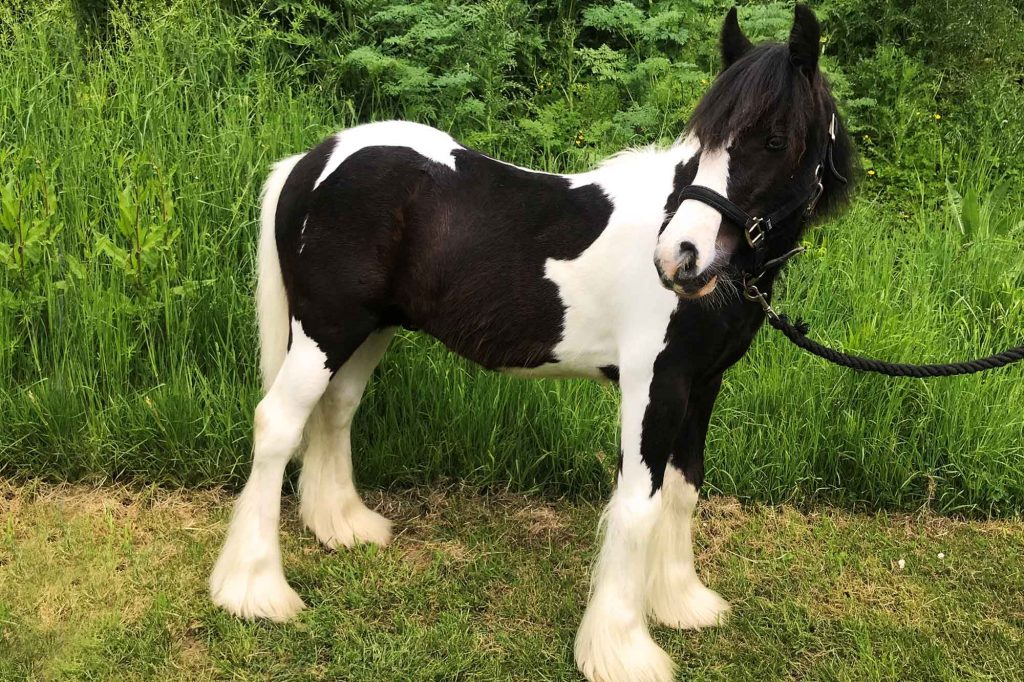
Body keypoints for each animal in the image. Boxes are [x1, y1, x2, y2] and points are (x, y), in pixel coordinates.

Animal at [209, 6, 856, 679]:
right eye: (704, 142)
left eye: (775, 141)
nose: (680, 257)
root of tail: (311, 161)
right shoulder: (653, 387)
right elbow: (638, 503)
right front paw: (621, 649)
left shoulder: (701, 385)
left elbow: (684, 487)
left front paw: (681, 603)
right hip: (325, 331)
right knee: (278, 425)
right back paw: (255, 592)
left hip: (367, 330)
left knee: (335, 410)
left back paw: (343, 526)